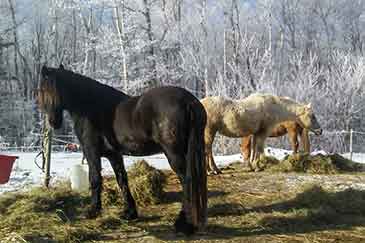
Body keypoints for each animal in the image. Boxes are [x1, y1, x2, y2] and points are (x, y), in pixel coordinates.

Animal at [37, 64, 208, 234]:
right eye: (43, 89)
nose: (53, 122)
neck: (91, 108)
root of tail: (189, 101)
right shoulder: (114, 155)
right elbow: (122, 179)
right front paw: (129, 213)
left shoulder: (92, 152)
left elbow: (95, 179)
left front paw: (93, 211)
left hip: (174, 154)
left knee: (187, 180)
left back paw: (183, 224)